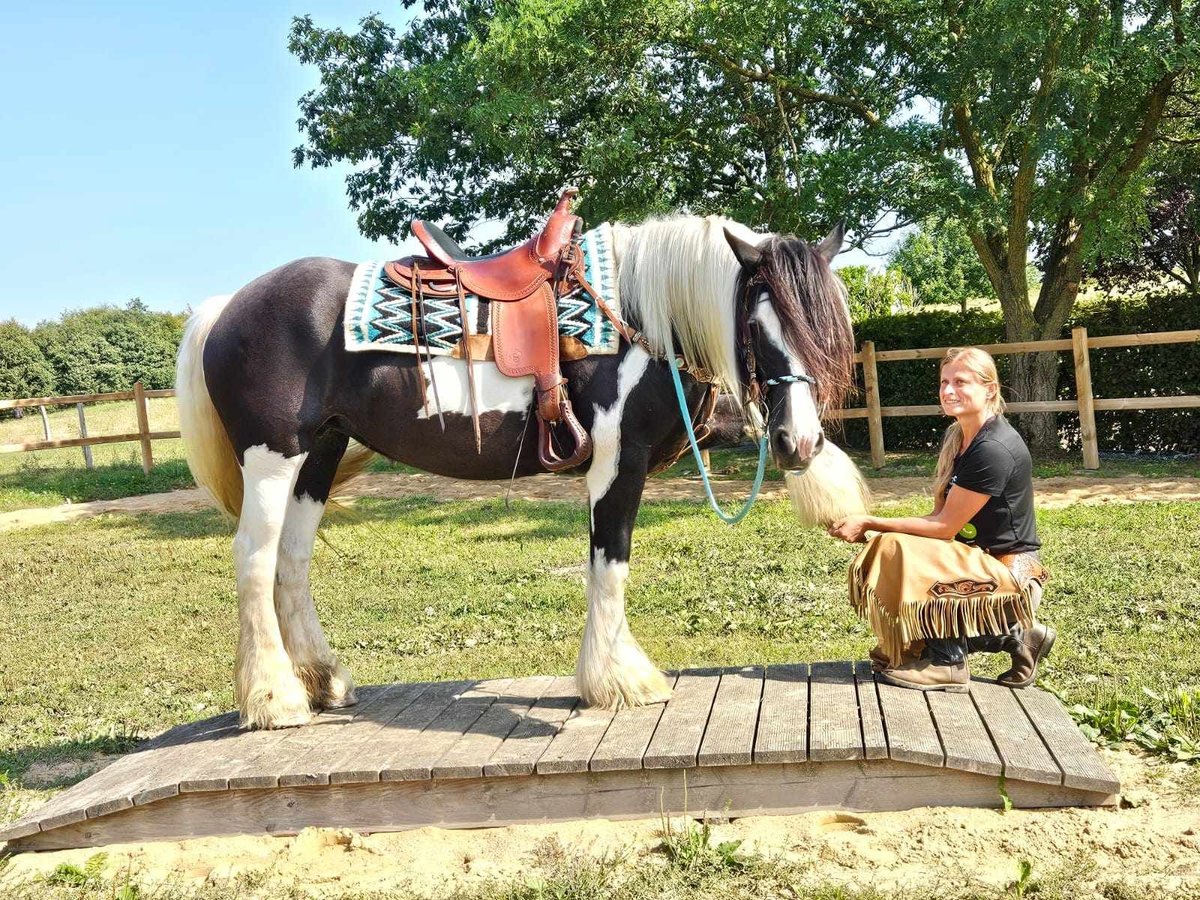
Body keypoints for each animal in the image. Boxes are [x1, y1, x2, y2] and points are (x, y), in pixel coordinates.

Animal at [177, 213, 868, 734]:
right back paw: (275, 699)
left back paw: (324, 681)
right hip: (273, 458)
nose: (797, 442)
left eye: (827, 329)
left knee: (291, 559)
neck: (641, 317)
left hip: (318, 454)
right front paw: (618, 680)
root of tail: (227, 306)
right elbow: (610, 561)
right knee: (255, 558)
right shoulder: (618, 460)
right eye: (756, 324)